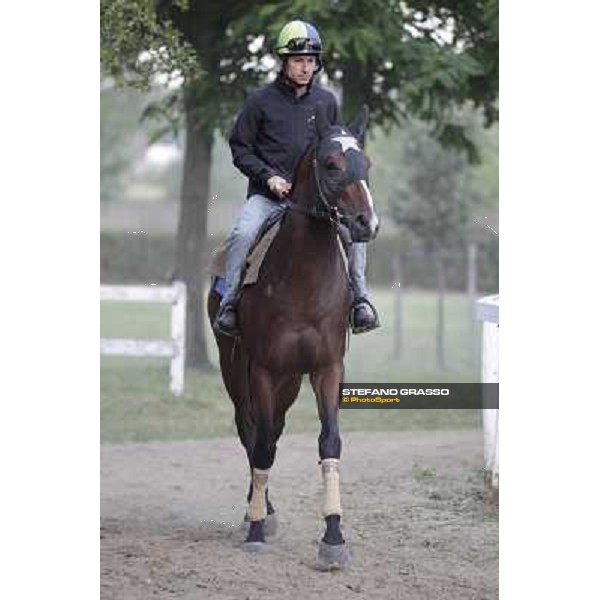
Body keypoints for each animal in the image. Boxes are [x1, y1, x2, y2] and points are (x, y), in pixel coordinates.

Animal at [207, 103, 380, 568]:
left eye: (366, 164)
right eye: (331, 163)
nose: (366, 223)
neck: (302, 280)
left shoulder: (327, 368)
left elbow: (329, 443)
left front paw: (334, 536)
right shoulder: (264, 370)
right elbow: (262, 445)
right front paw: (254, 527)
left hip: (288, 382)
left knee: (272, 430)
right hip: (237, 372)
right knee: (252, 432)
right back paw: (259, 512)